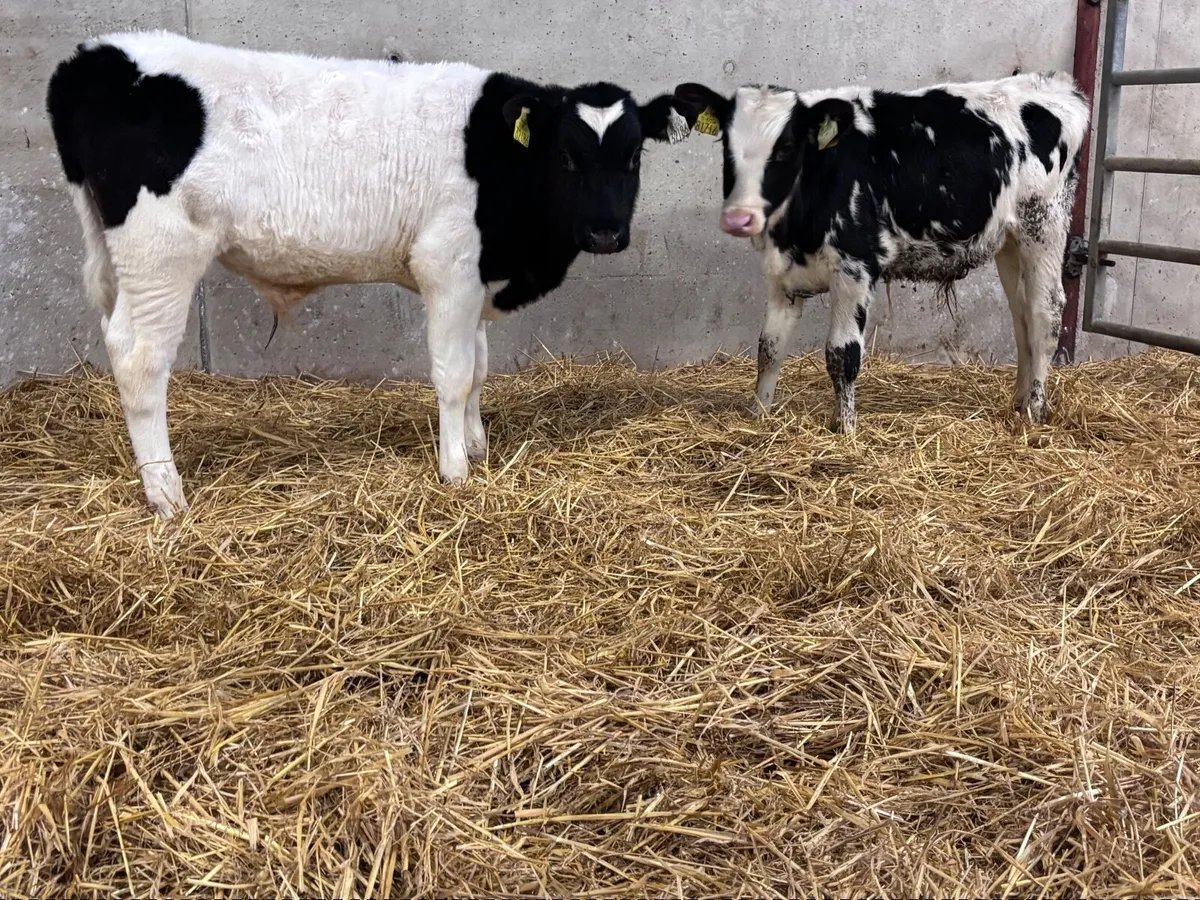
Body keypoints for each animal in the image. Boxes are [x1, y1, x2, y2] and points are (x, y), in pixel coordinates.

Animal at [46, 31, 694, 517]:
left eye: (634, 154)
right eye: (566, 155)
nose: (606, 233)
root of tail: (94, 56)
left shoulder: (477, 275)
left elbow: (480, 367)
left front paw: (478, 445)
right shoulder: (448, 264)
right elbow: (454, 374)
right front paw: (455, 469)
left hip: (118, 258)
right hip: (161, 252)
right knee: (138, 357)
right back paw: (166, 493)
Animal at [670, 73, 1090, 432]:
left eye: (786, 147)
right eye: (726, 145)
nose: (739, 218)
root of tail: (1053, 84)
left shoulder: (855, 269)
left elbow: (842, 355)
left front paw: (844, 429)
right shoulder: (781, 277)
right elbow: (769, 349)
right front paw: (758, 416)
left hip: (1043, 224)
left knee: (1046, 312)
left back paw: (1034, 411)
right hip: (1009, 241)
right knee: (1022, 315)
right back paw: (1018, 401)